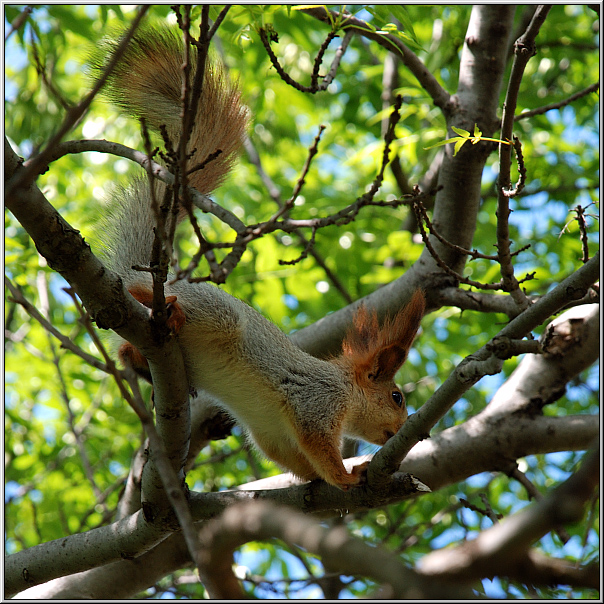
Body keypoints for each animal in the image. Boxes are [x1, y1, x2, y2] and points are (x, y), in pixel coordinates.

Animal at [95, 27, 424, 490]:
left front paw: (323, 479)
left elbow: (295, 462)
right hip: (215, 313)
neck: (343, 390)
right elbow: (320, 447)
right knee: (140, 289)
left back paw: (139, 360)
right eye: (396, 396)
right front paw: (347, 476)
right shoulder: (314, 403)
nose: (407, 427)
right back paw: (161, 305)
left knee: (126, 349)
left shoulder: (271, 433)